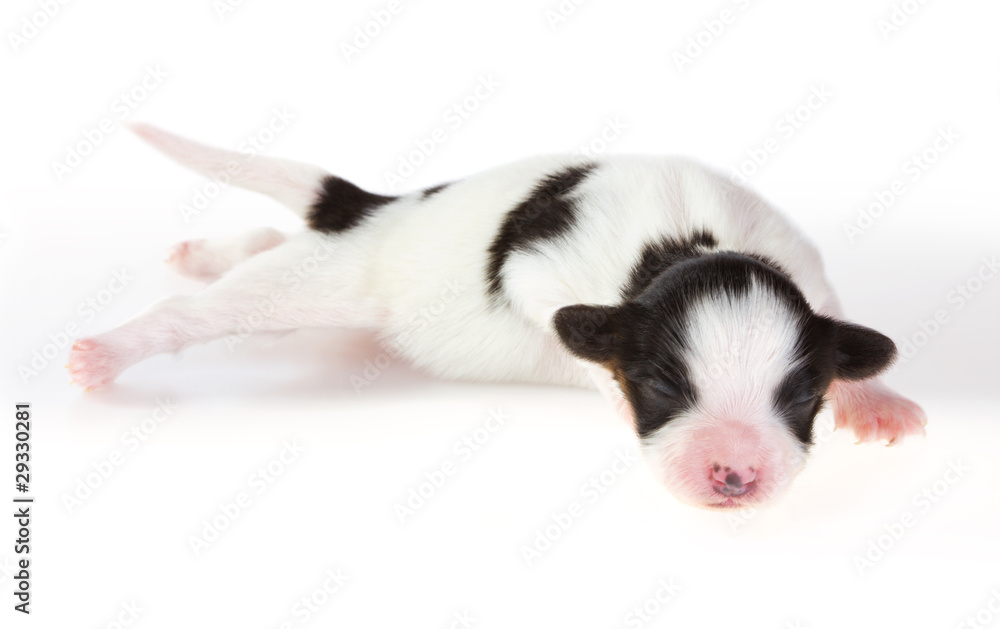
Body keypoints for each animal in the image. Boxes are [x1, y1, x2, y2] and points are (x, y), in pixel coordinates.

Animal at [68, 126, 928, 510]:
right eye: (660, 384)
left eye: (801, 396)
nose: (736, 474)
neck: (698, 240)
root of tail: (376, 210)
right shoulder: (537, 271)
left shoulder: (811, 277)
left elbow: (843, 333)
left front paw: (875, 399)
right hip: (322, 282)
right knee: (197, 311)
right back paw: (109, 348)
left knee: (273, 250)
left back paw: (211, 250)